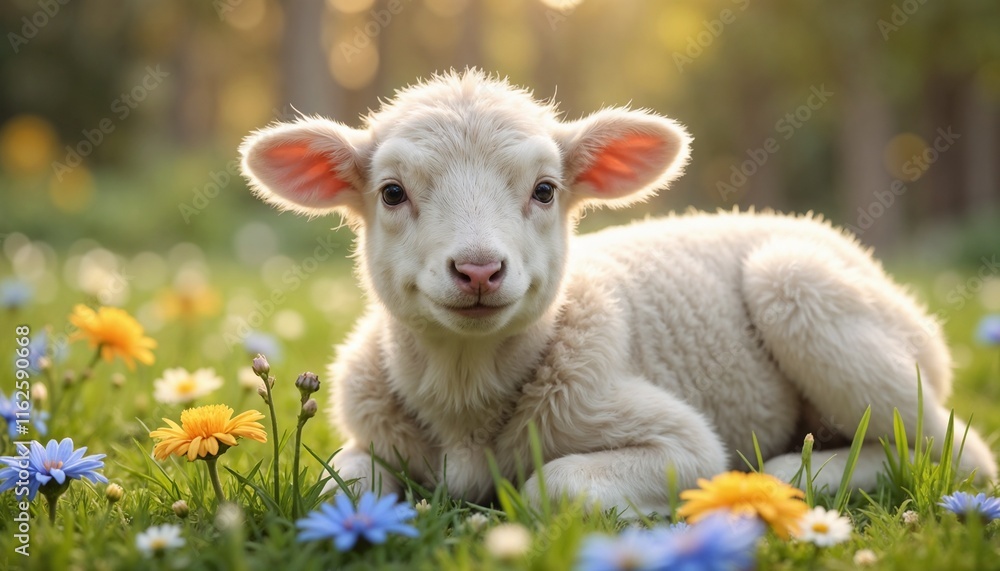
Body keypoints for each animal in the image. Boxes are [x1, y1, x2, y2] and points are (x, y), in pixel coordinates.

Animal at [239, 69, 997, 514]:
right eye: (392, 192)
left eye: (545, 189)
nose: (479, 270)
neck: (465, 395)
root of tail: (832, 237)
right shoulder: (368, 437)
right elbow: (340, 483)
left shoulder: (682, 441)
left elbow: (554, 484)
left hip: (808, 293)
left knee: (957, 453)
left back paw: (791, 471)